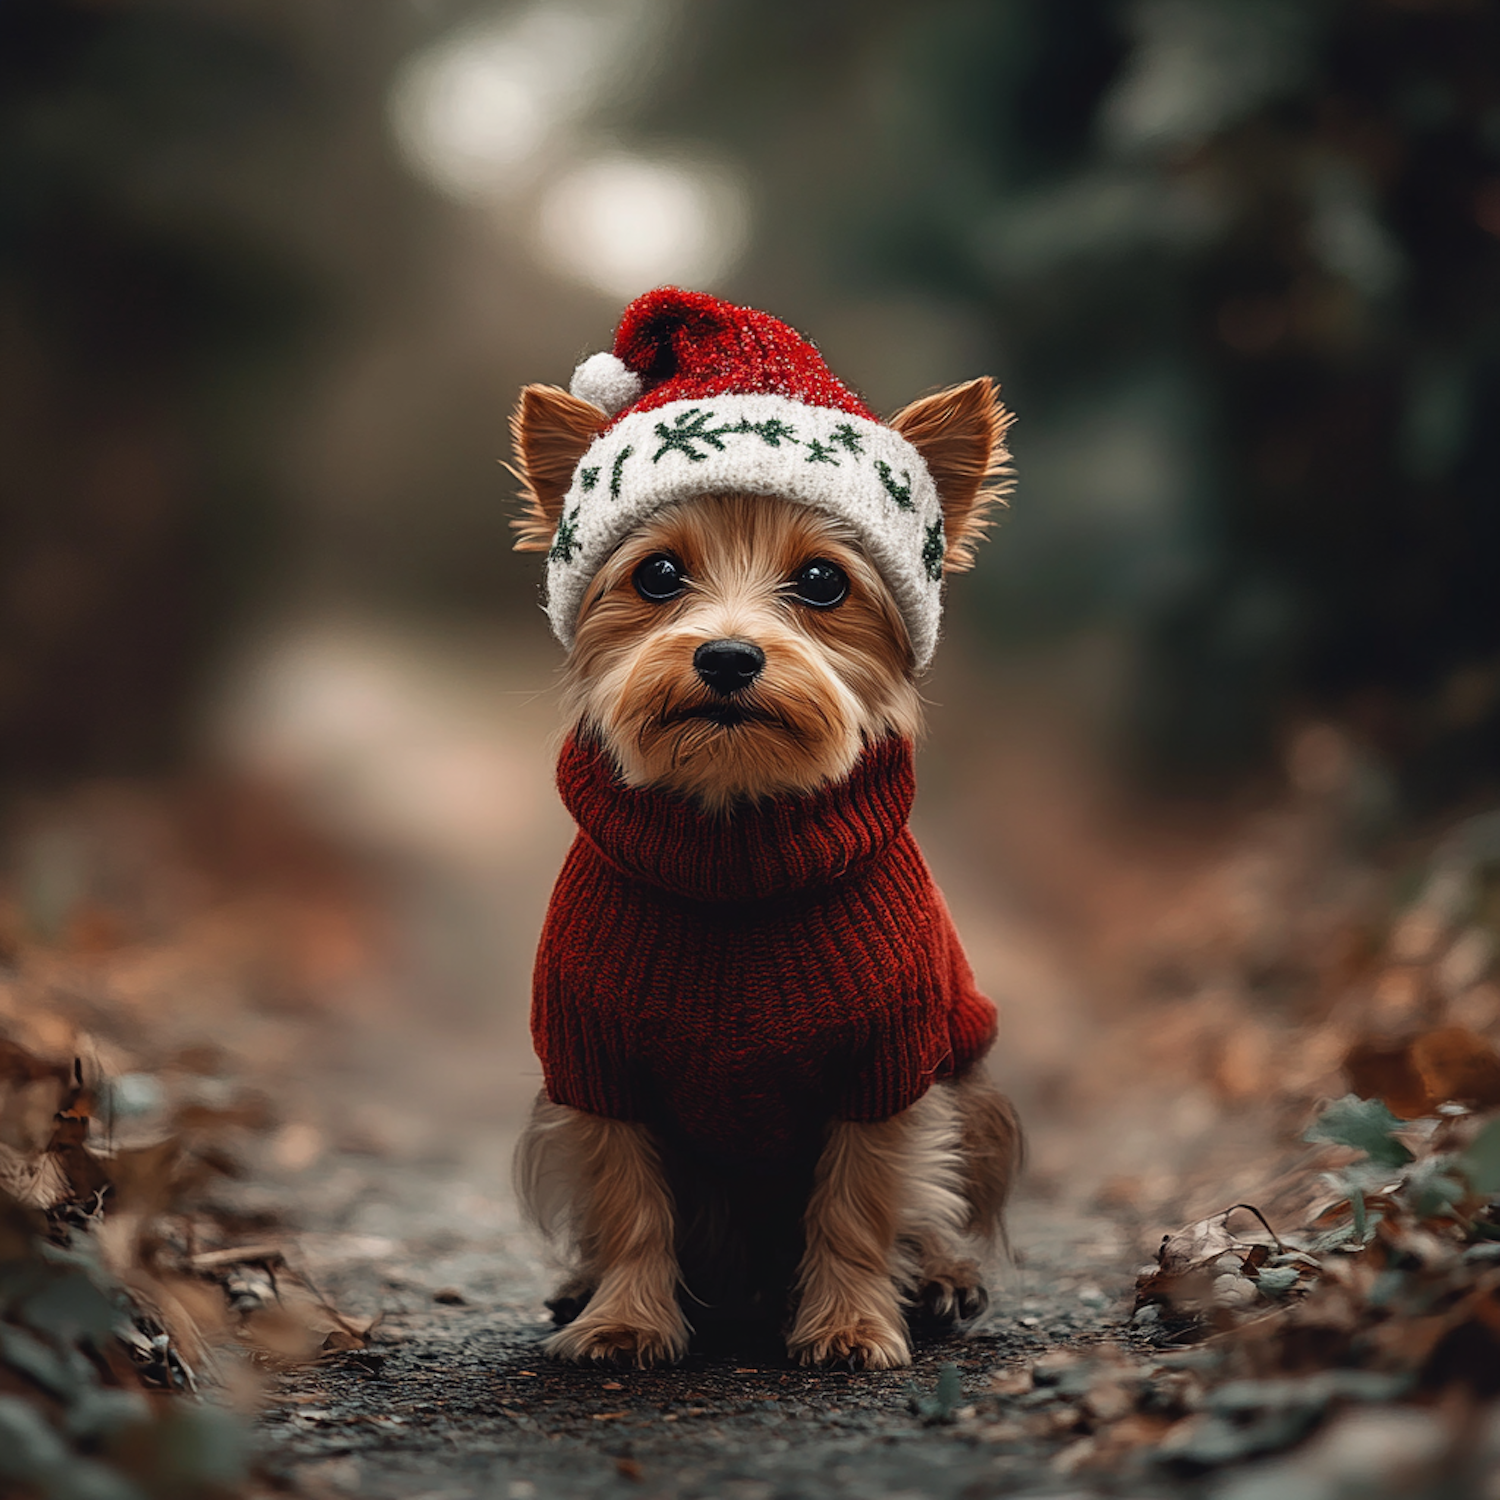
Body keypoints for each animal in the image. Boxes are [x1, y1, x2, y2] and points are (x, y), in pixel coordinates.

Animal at [504, 286, 1020, 1368]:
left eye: (823, 583)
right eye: (658, 576)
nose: (730, 657)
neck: (733, 849)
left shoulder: (888, 1063)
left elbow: (862, 1202)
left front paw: (852, 1325)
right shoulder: (593, 1065)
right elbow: (628, 1202)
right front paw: (623, 1319)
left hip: (979, 1090)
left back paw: (942, 1279)